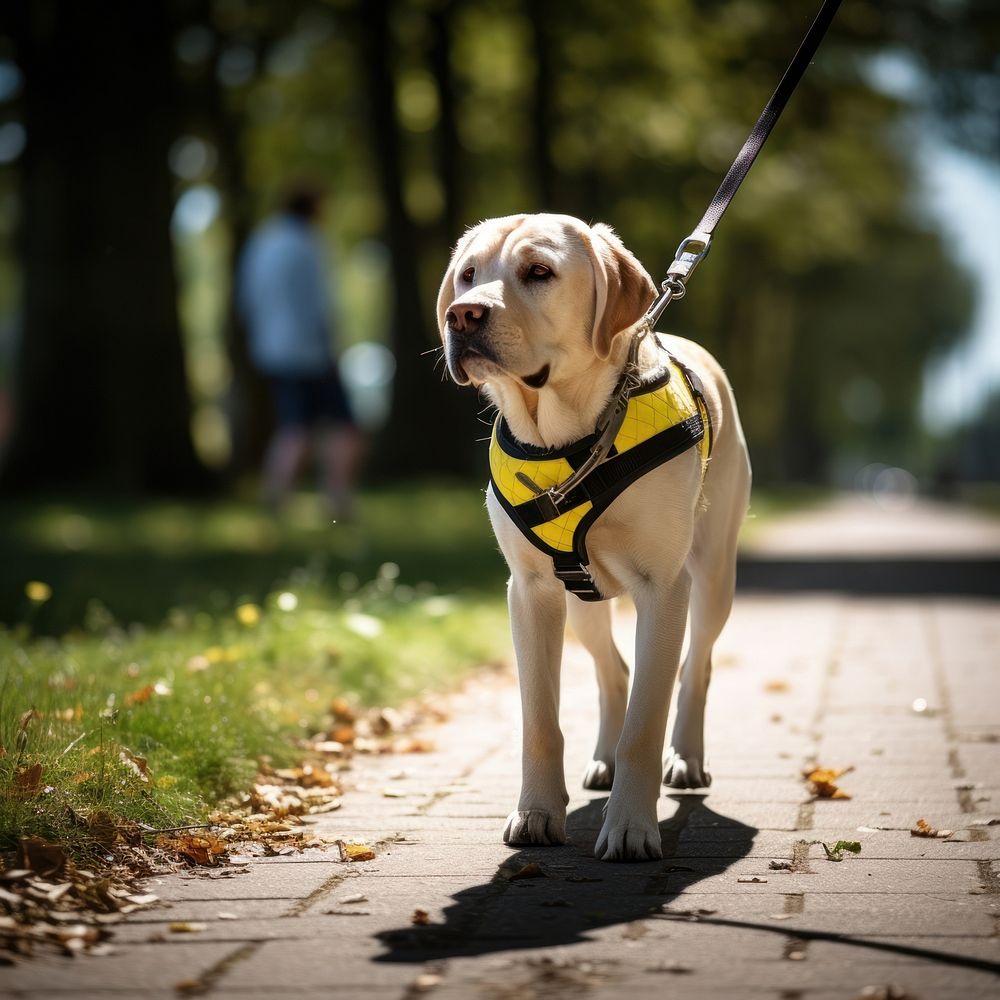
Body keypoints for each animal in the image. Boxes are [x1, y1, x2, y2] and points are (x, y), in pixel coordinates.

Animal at [438, 213, 752, 860]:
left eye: (539, 272)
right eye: (468, 274)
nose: (462, 314)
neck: (568, 440)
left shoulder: (664, 588)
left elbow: (645, 723)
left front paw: (631, 825)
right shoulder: (531, 590)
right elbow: (540, 720)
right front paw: (536, 813)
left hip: (713, 578)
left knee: (695, 667)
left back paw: (686, 758)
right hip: (581, 600)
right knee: (614, 673)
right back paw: (603, 761)